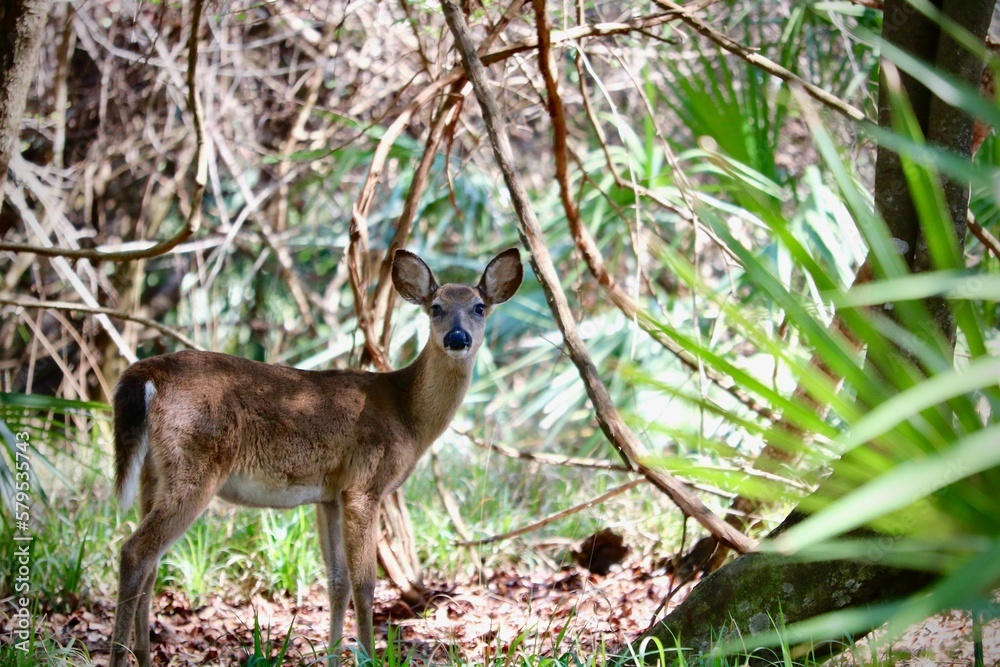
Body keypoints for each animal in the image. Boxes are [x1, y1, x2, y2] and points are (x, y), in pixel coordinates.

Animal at [109, 248, 523, 667]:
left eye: (479, 307)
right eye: (435, 307)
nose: (458, 337)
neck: (406, 412)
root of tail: (146, 373)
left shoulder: (330, 494)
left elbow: (337, 581)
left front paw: (334, 657)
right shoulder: (364, 485)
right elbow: (365, 583)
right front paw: (368, 656)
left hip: (153, 473)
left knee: (151, 562)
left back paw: (142, 655)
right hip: (196, 462)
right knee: (135, 552)